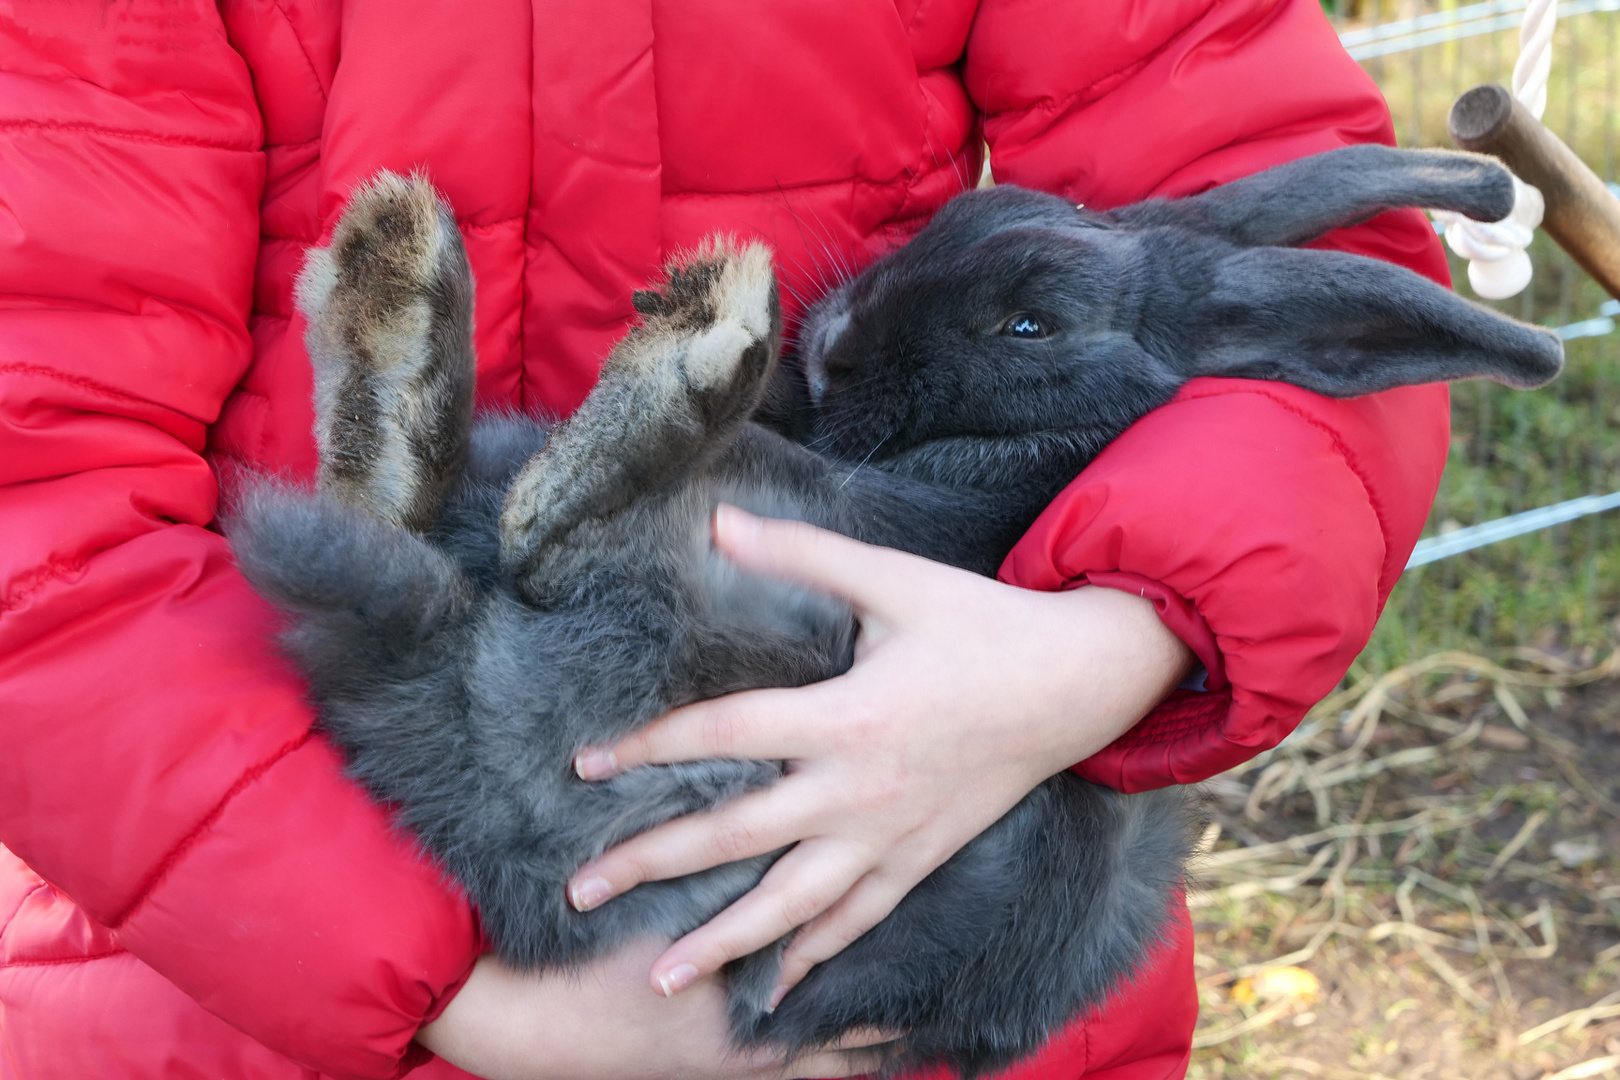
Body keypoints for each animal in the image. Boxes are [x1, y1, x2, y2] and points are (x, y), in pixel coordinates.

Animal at [228, 141, 1555, 1075]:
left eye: (1030, 322)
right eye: (953, 220)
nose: (837, 346)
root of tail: (440, 675)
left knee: (537, 533)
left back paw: (678, 343)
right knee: (425, 506)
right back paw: (404, 281)